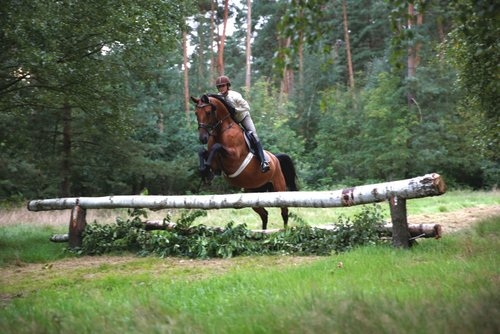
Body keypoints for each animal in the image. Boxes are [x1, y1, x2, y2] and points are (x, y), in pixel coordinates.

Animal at [191, 94, 296, 230]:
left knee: (284, 212)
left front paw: (206, 170)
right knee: (264, 214)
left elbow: (217, 147)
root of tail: (275, 158)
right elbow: (203, 152)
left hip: (278, 188)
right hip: (253, 193)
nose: (202, 138)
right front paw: (205, 171)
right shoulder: (216, 162)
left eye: (208, 112)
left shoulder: (234, 157)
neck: (222, 130)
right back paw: (263, 232)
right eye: (196, 113)